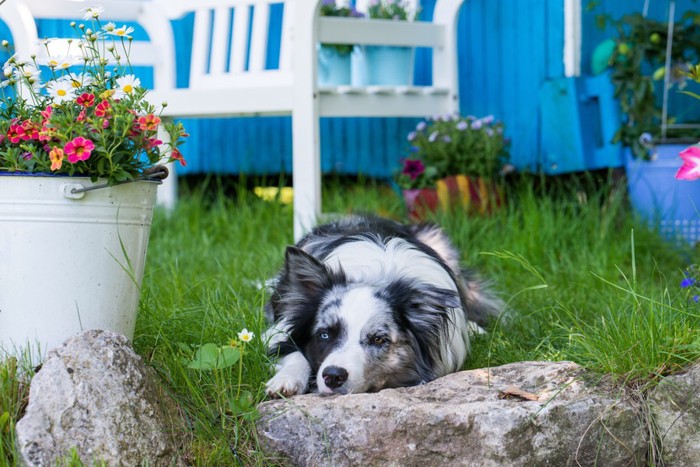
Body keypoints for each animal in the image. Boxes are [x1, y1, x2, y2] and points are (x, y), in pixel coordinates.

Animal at [264, 214, 504, 396]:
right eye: (324, 334)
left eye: (379, 339)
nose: (333, 376)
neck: (378, 276)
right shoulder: (279, 330)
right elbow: (294, 354)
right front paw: (285, 380)